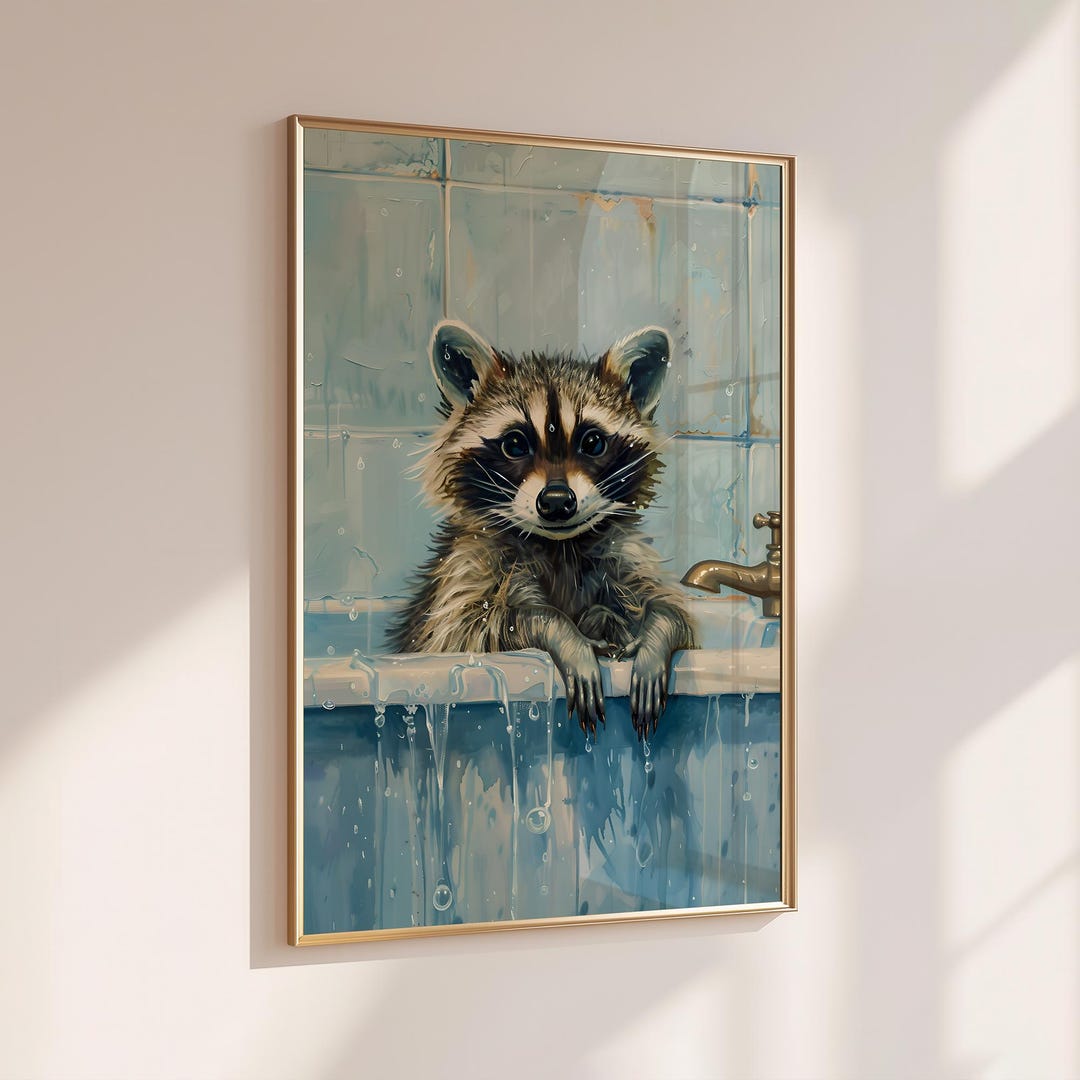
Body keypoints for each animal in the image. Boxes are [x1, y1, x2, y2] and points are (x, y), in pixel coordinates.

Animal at [389, 320, 696, 739]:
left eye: (593, 442)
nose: (556, 502)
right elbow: (476, 630)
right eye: (515, 444)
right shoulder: (467, 572)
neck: (559, 544)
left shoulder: (623, 557)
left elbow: (674, 613)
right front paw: (563, 633)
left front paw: (652, 635)